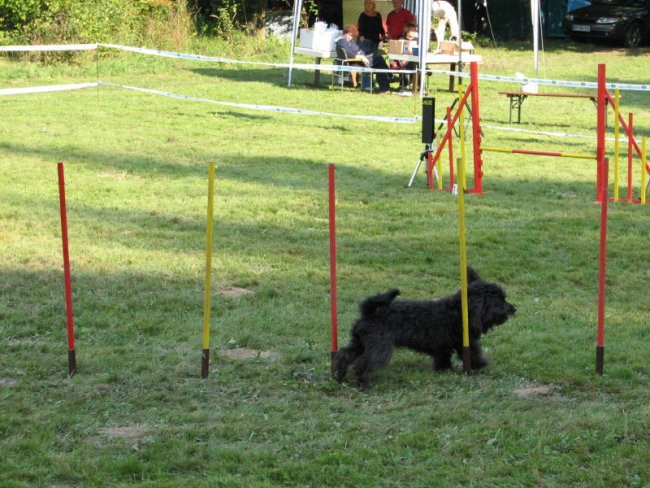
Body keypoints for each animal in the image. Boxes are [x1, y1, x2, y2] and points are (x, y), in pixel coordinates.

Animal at [332, 266, 512, 388]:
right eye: (499, 300)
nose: (513, 309)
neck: (461, 310)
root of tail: (370, 312)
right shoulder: (466, 343)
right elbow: (474, 355)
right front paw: (481, 364)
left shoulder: (443, 347)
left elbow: (443, 359)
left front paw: (443, 370)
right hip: (380, 347)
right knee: (364, 362)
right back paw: (362, 383)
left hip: (359, 342)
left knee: (344, 354)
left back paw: (338, 375)